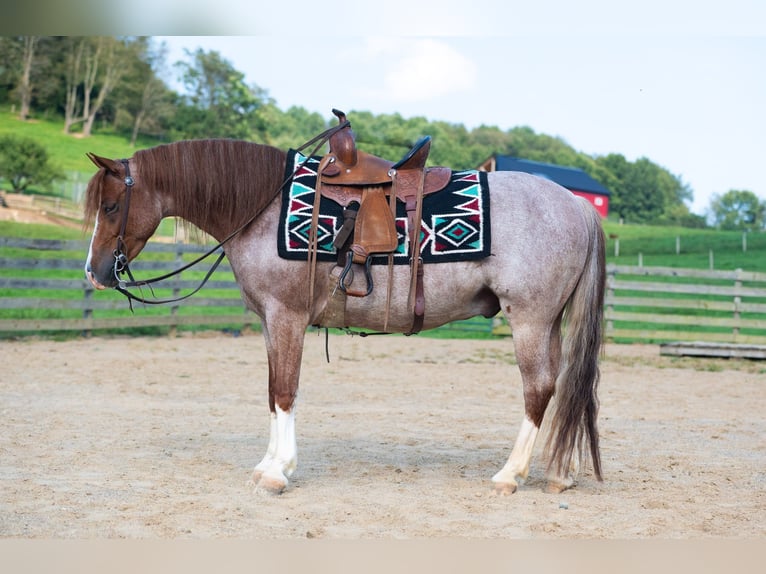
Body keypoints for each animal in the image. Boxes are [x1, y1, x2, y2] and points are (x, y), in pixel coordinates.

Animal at [83, 137, 605, 496]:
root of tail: (577, 206)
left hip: (529, 320)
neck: (265, 209)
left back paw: (510, 474)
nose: (94, 272)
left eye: (111, 205)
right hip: (548, 322)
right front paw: (270, 464)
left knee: (537, 388)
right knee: (562, 385)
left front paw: (277, 472)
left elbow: (285, 391)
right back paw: (560, 472)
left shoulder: (287, 316)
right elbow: (272, 392)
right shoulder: (271, 322)